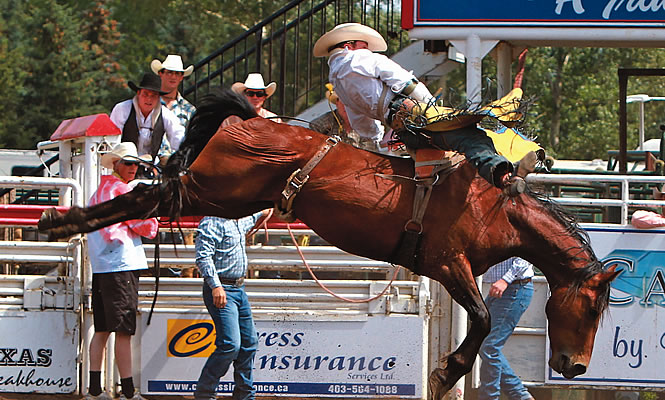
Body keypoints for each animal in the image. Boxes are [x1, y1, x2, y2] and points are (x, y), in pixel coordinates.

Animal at [40, 88, 616, 400]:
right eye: (592, 307)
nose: (576, 368)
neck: (493, 204)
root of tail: (249, 120)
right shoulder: (449, 264)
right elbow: (480, 318)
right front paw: (444, 372)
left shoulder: (455, 269)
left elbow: (482, 319)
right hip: (215, 190)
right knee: (153, 193)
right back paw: (59, 223)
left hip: (229, 198)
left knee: (153, 195)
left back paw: (60, 223)